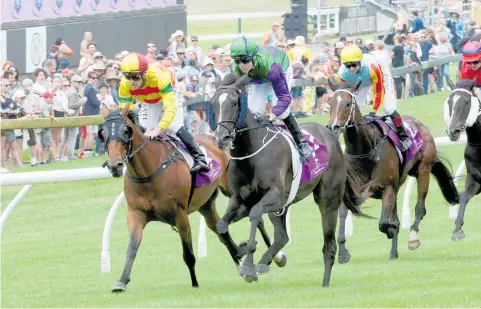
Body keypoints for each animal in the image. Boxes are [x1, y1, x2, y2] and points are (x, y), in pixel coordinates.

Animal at [209, 73, 368, 286]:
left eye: (234, 102)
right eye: (212, 103)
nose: (222, 138)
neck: (251, 153)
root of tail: (331, 134)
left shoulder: (274, 196)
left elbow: (255, 214)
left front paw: (249, 264)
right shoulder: (241, 199)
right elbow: (221, 226)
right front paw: (240, 253)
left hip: (328, 198)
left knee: (329, 245)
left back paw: (324, 282)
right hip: (282, 206)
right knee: (282, 236)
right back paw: (268, 260)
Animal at [326, 80, 458, 262]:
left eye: (347, 104)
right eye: (330, 103)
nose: (333, 127)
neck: (365, 148)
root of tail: (420, 125)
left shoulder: (387, 187)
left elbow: (384, 223)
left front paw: (390, 230)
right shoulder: (353, 191)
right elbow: (343, 216)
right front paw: (343, 253)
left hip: (423, 170)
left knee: (419, 208)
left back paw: (412, 238)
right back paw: (394, 252)